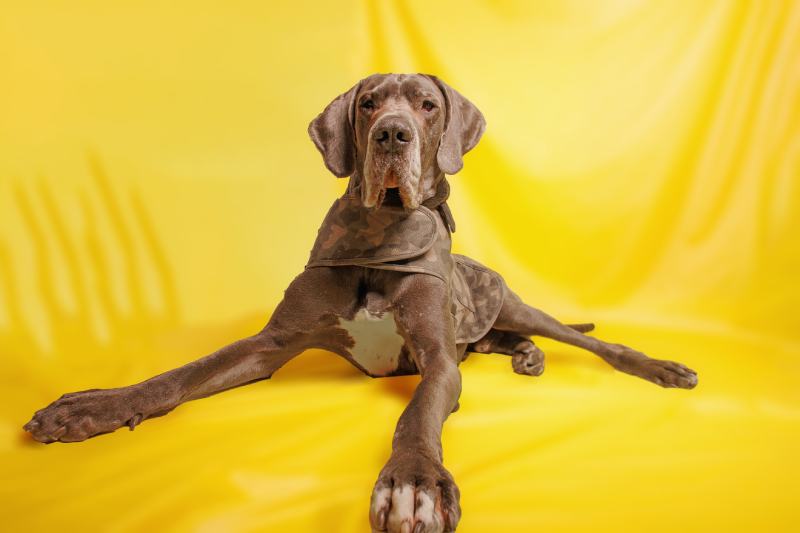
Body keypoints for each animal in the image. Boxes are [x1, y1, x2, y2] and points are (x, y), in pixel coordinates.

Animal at [23, 74, 700, 532]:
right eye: (370, 101)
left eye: (427, 105)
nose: (392, 133)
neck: (380, 238)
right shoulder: (269, 344)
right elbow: (182, 374)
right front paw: (94, 407)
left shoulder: (437, 358)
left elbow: (417, 416)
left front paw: (414, 484)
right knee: (498, 341)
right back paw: (526, 358)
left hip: (514, 302)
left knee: (589, 339)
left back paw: (655, 366)